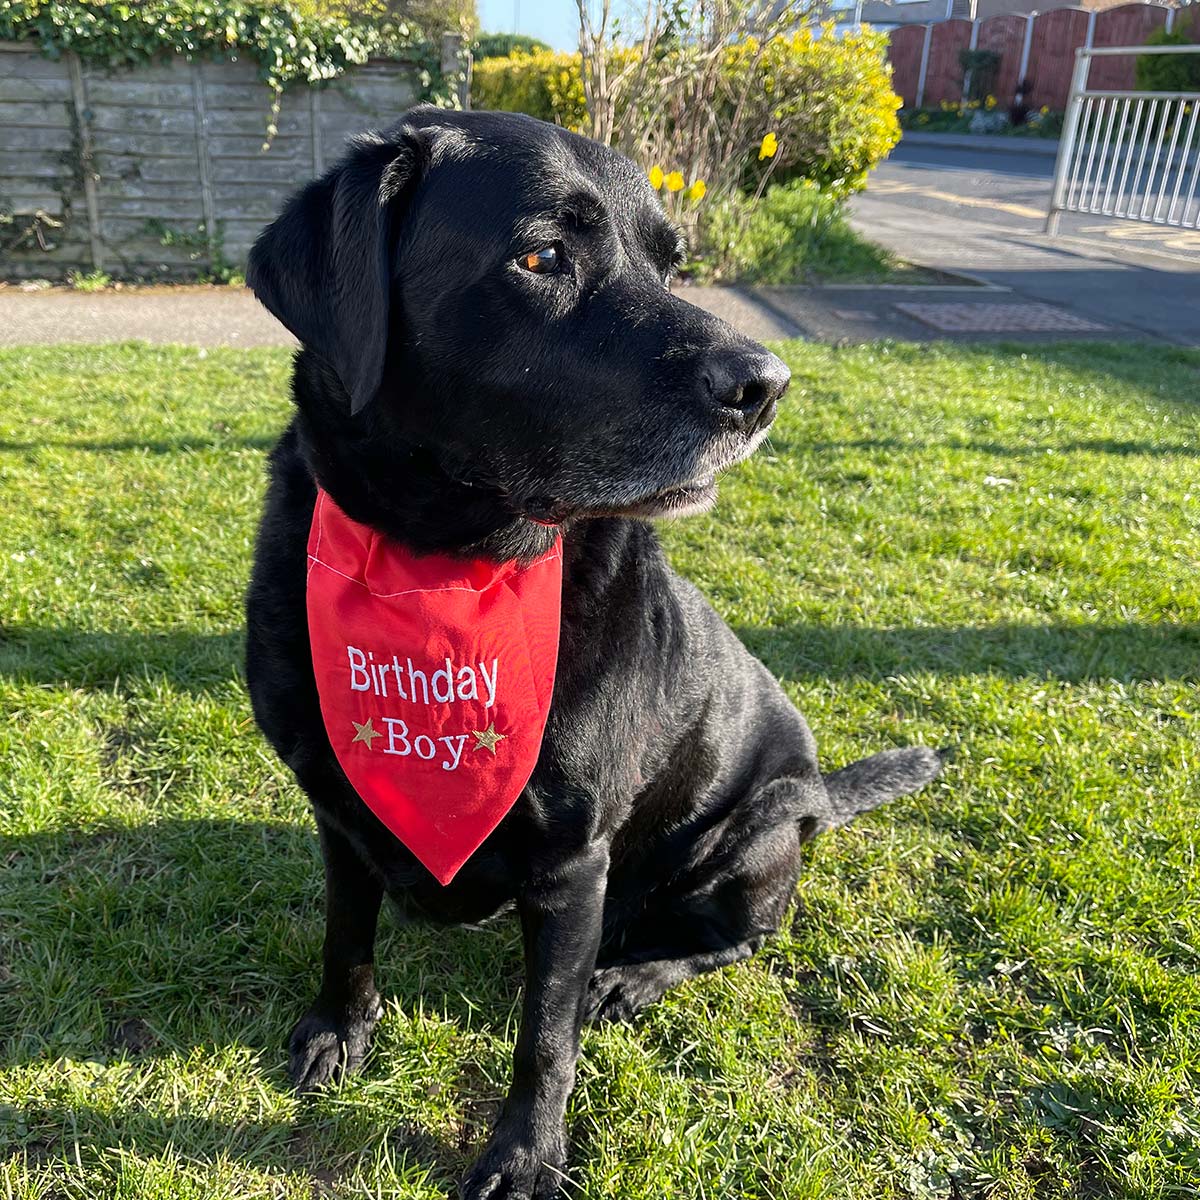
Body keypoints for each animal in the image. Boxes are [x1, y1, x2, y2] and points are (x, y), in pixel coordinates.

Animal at [241, 108, 936, 1195]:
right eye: (542, 256)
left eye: (670, 263)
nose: (767, 386)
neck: (442, 565)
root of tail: (823, 793)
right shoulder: (337, 808)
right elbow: (345, 931)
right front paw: (337, 1030)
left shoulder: (572, 863)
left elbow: (545, 1038)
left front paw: (526, 1155)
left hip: (750, 836)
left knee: (738, 941)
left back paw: (631, 977)